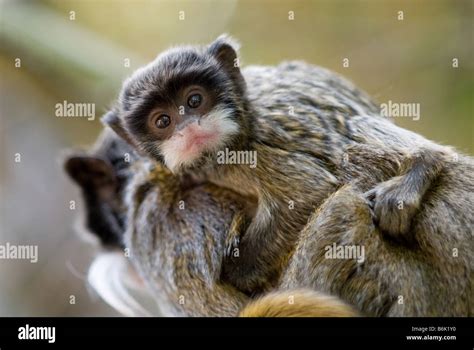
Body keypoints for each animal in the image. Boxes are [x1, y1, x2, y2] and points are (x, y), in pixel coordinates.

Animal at [103, 34, 474, 292]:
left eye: (195, 100)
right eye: (163, 121)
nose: (188, 127)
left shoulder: (251, 152)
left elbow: (308, 193)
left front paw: (240, 273)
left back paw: (421, 164)